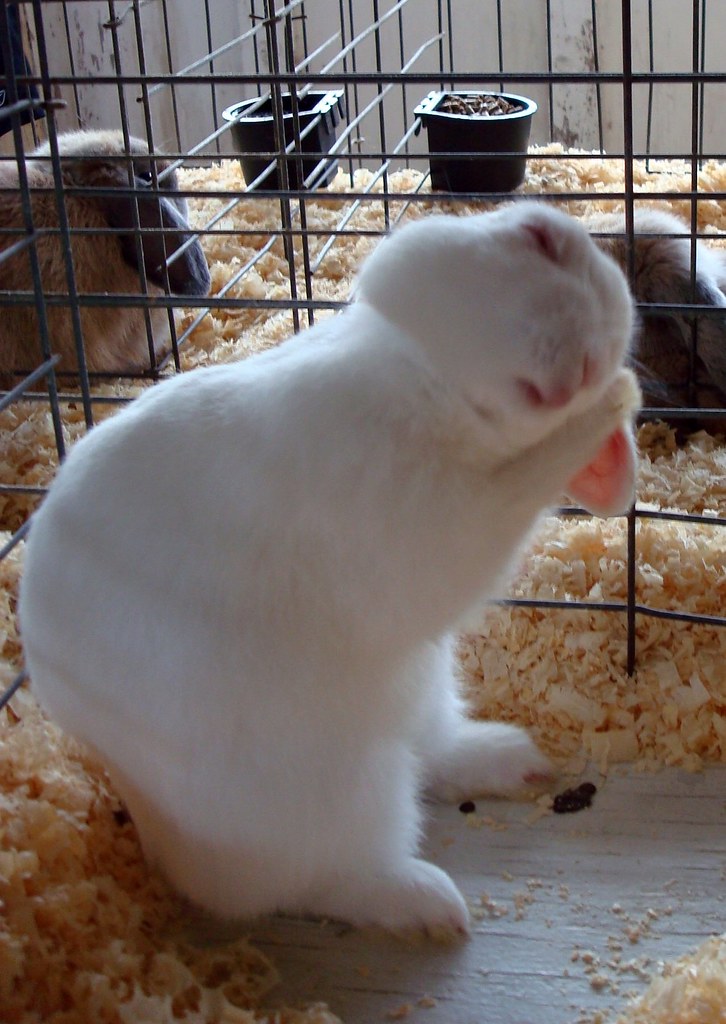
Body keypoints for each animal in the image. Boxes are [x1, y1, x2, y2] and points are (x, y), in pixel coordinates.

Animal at [19, 202, 640, 938]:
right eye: (539, 239)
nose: (590, 363)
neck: (431, 385)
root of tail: (167, 850)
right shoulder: (433, 528)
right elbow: (513, 493)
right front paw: (610, 406)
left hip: (421, 687)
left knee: (432, 753)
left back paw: (518, 765)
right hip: (342, 792)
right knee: (325, 880)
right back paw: (431, 905)